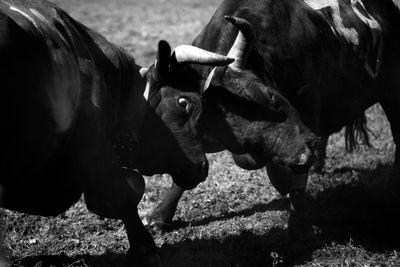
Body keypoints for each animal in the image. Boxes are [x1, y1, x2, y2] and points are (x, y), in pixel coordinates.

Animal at [145, 0, 400, 239]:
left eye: (269, 94)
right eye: (225, 130)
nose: (304, 154)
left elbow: (292, 182)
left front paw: (298, 228)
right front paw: (159, 216)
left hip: (390, 92)